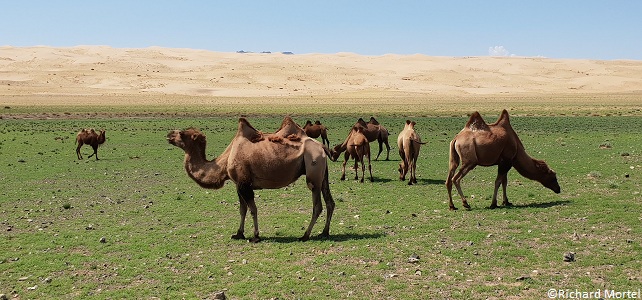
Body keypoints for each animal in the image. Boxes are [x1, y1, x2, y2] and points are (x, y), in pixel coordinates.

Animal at [165, 116, 336, 243]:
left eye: (181, 133)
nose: (168, 135)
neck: (225, 161)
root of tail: (322, 147)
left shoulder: (244, 184)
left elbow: (253, 209)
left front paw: (255, 236)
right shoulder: (238, 185)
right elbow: (242, 209)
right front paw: (238, 233)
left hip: (313, 171)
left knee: (317, 205)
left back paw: (305, 235)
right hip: (322, 174)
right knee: (330, 201)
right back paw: (324, 232)